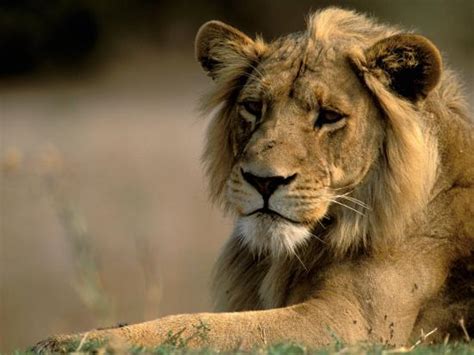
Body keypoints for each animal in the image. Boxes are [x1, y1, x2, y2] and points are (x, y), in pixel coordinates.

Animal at [33, 6, 470, 352]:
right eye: (253, 108)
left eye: (329, 116)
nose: (264, 181)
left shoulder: (355, 324)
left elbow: (199, 328)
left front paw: (71, 342)